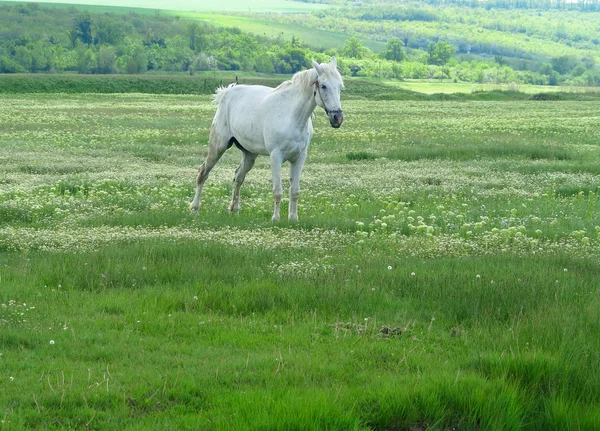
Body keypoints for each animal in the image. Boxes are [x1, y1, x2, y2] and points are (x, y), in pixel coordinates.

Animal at [190, 56, 344, 223]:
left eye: (340, 87)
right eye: (323, 86)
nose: (337, 118)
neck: (292, 116)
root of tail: (226, 92)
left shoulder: (299, 157)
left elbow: (295, 190)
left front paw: (293, 218)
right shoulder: (276, 156)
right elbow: (277, 190)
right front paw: (275, 218)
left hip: (249, 155)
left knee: (238, 177)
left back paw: (234, 210)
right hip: (218, 147)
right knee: (203, 173)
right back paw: (195, 208)